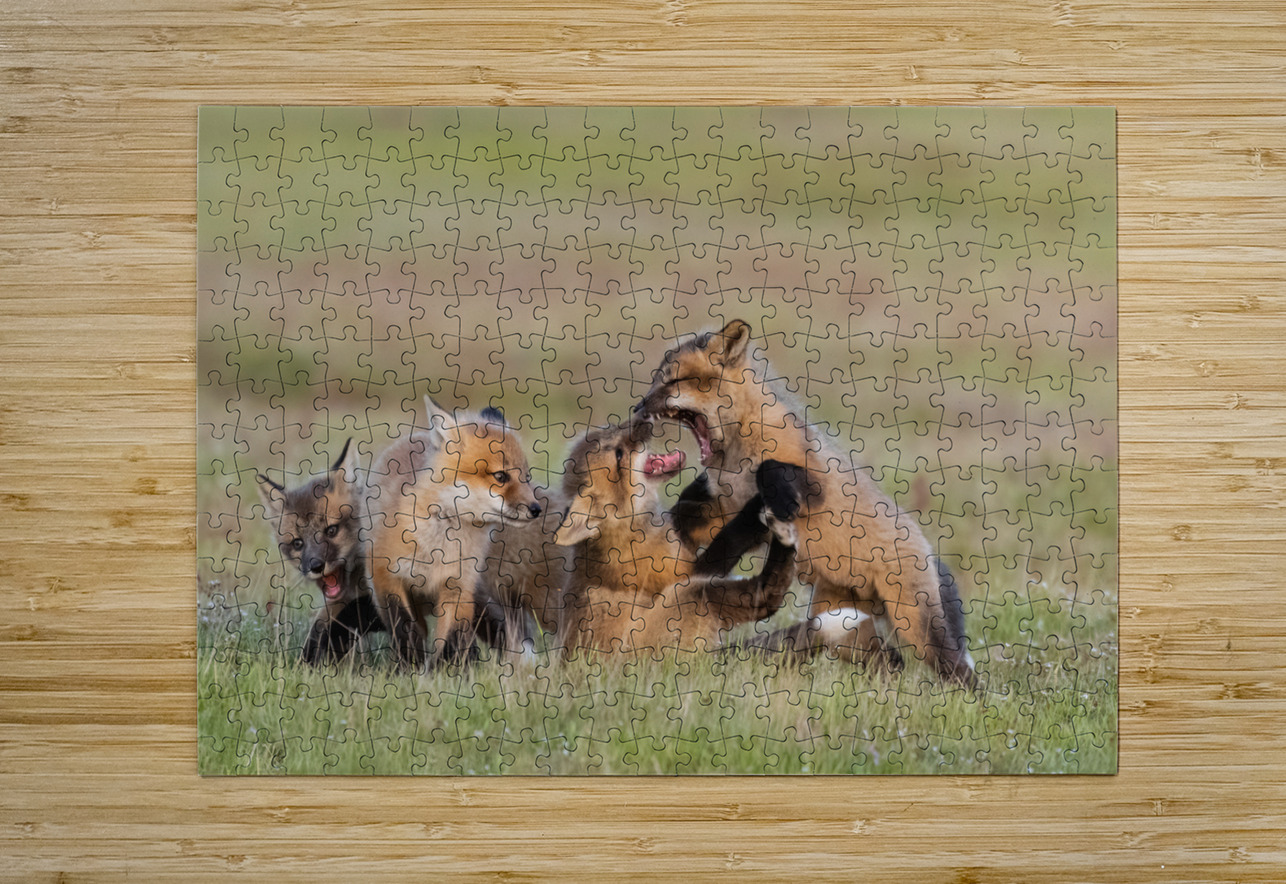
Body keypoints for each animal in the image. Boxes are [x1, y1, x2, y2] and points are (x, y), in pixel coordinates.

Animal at [368, 396, 544, 670]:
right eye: (500, 476)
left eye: (526, 477)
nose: (537, 509)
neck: (440, 544)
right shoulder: (386, 578)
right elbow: (405, 629)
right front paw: (409, 669)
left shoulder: (458, 586)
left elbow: (451, 639)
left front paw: (446, 672)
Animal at [552, 419, 802, 656]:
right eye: (618, 454)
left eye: (614, 426)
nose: (643, 415)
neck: (630, 533)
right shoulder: (682, 573)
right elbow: (729, 539)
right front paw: (752, 512)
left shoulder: (679, 536)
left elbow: (685, 508)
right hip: (691, 595)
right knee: (765, 598)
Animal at [636, 318, 979, 688]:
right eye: (657, 379)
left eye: (672, 380)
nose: (637, 408)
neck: (735, 457)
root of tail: (929, 552)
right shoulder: (723, 506)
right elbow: (690, 518)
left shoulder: (811, 483)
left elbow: (767, 477)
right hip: (842, 628)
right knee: (888, 659)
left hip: (917, 631)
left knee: (959, 671)